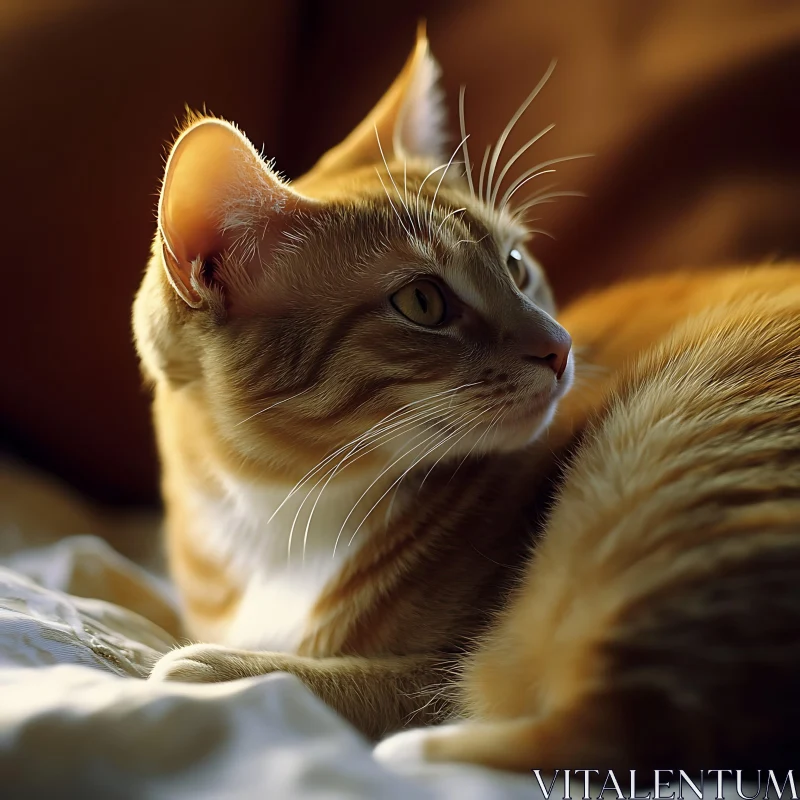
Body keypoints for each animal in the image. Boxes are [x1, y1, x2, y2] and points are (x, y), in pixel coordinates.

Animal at [136, 32, 576, 736]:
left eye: (515, 265)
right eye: (423, 302)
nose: (560, 347)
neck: (276, 527)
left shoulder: (461, 678)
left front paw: (214, 669)